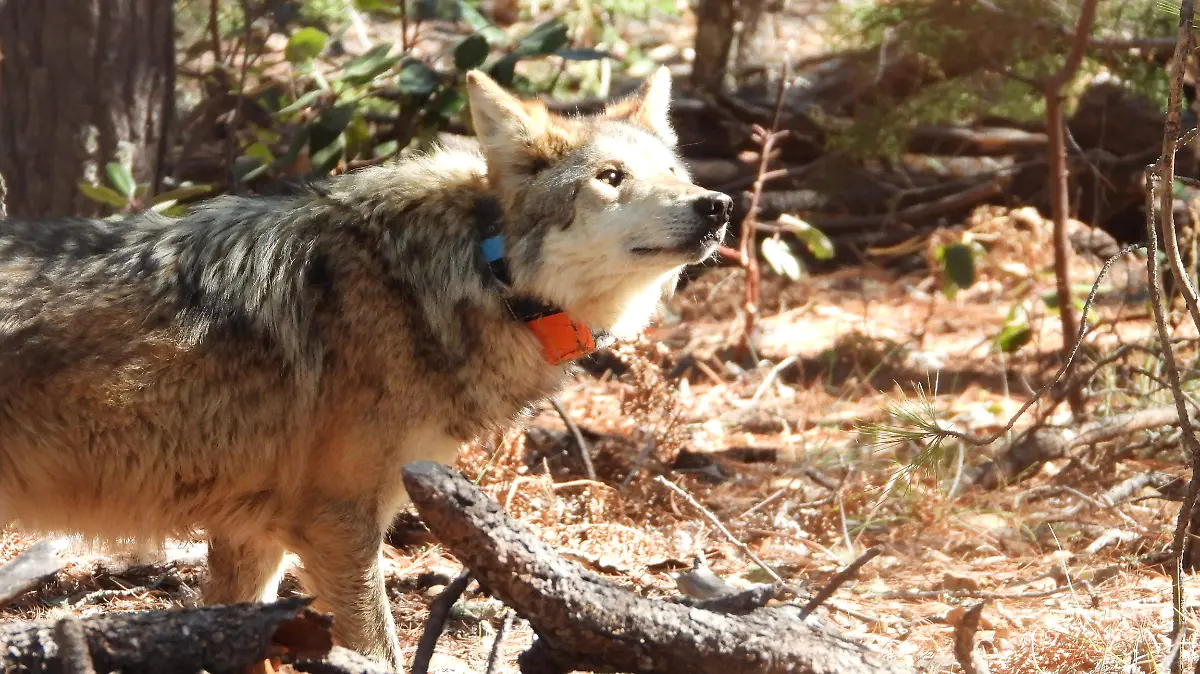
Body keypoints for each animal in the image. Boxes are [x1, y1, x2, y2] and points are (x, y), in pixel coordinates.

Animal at [0, 67, 731, 668]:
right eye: (611, 177)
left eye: (674, 171)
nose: (716, 203)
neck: (473, 269)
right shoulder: (336, 522)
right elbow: (381, 653)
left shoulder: (251, 533)